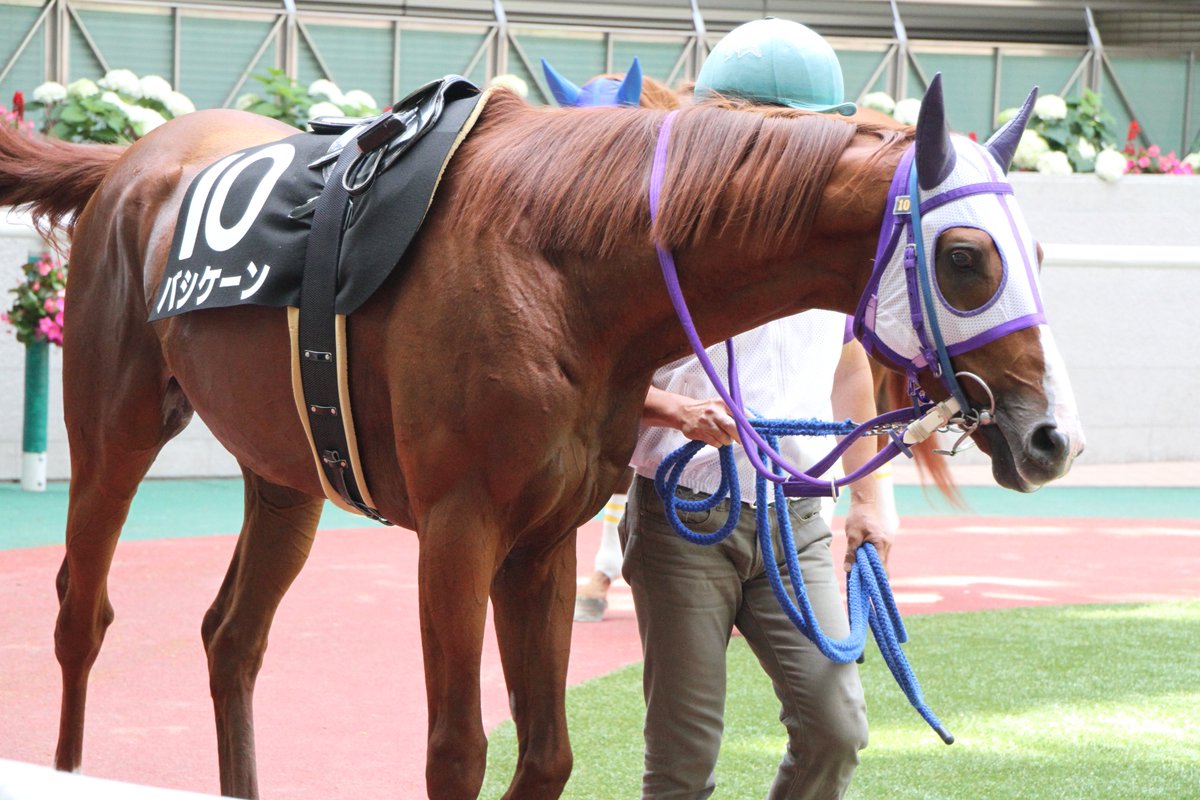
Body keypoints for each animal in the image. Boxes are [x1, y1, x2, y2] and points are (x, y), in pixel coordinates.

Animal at [0, 74, 1082, 798]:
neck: (561, 259)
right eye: (967, 257)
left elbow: (549, 752)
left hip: (287, 471)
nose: (1052, 436)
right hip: (112, 430)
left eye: (1035, 250)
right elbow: (457, 752)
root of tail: (130, 158)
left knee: (232, 637)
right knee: (81, 613)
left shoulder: (541, 535)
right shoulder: (458, 530)